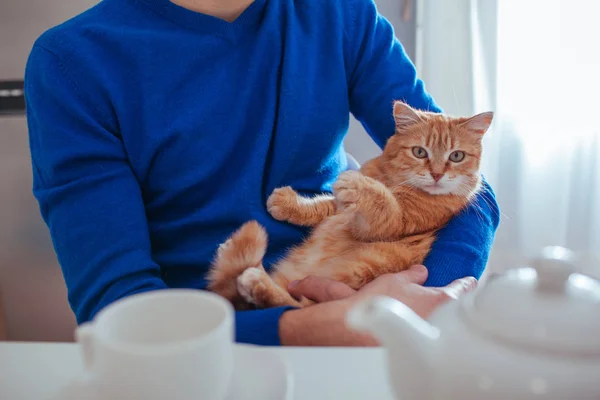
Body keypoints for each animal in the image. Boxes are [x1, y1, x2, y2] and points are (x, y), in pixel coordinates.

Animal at [206, 100, 492, 310]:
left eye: (456, 156)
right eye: (420, 152)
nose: (436, 174)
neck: (394, 180)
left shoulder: (391, 224)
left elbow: (383, 203)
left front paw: (355, 183)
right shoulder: (340, 210)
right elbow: (323, 205)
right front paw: (287, 203)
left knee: (296, 304)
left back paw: (256, 282)